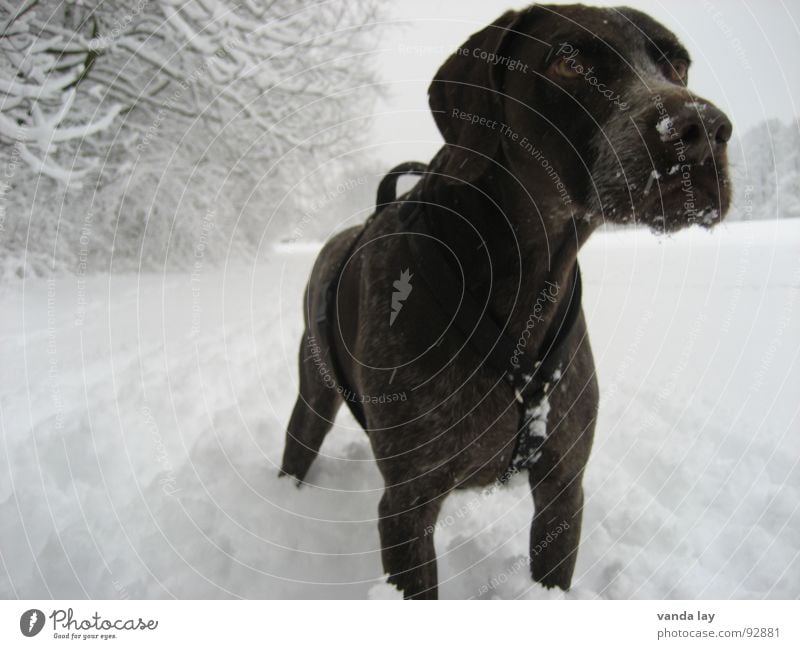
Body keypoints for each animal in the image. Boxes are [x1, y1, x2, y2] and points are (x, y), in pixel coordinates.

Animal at [282, 3, 732, 596]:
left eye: (678, 65)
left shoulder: (563, 488)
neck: (525, 279)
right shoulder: (407, 503)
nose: (702, 130)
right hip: (311, 403)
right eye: (567, 61)